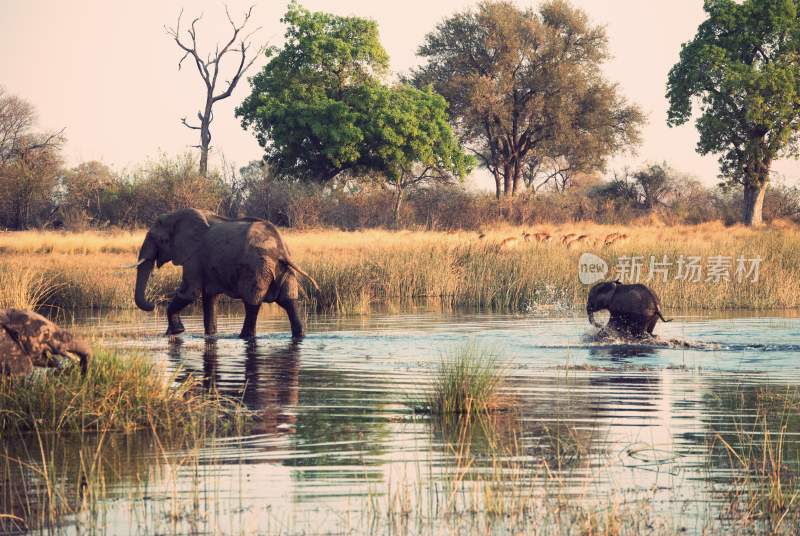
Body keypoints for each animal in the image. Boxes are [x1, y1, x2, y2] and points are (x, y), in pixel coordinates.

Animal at [133, 209, 318, 340]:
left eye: (160, 241)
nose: (153, 304)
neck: (175, 216)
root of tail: (281, 249)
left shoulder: (194, 256)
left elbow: (190, 292)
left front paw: (176, 332)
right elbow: (209, 298)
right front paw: (210, 335)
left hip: (257, 268)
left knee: (252, 303)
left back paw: (243, 337)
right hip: (283, 270)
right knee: (289, 302)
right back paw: (299, 335)